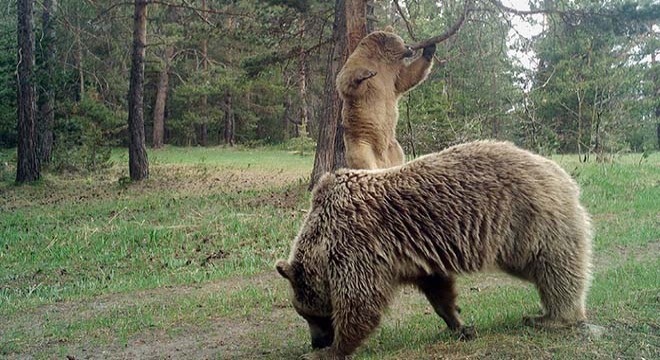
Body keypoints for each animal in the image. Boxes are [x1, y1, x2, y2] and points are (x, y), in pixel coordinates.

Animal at [276, 141, 596, 360]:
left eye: (310, 315)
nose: (316, 341)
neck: (323, 237)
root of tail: (561, 173)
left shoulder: (357, 246)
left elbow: (361, 303)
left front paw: (328, 352)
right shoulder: (414, 259)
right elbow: (438, 289)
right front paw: (460, 324)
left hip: (529, 220)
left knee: (556, 269)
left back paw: (553, 318)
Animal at [338, 27, 436, 169]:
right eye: (401, 40)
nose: (409, 47)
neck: (382, 60)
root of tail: (382, 162)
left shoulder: (392, 75)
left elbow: (406, 78)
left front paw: (430, 49)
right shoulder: (359, 63)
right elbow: (345, 81)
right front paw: (364, 74)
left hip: (394, 148)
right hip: (362, 143)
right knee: (364, 161)